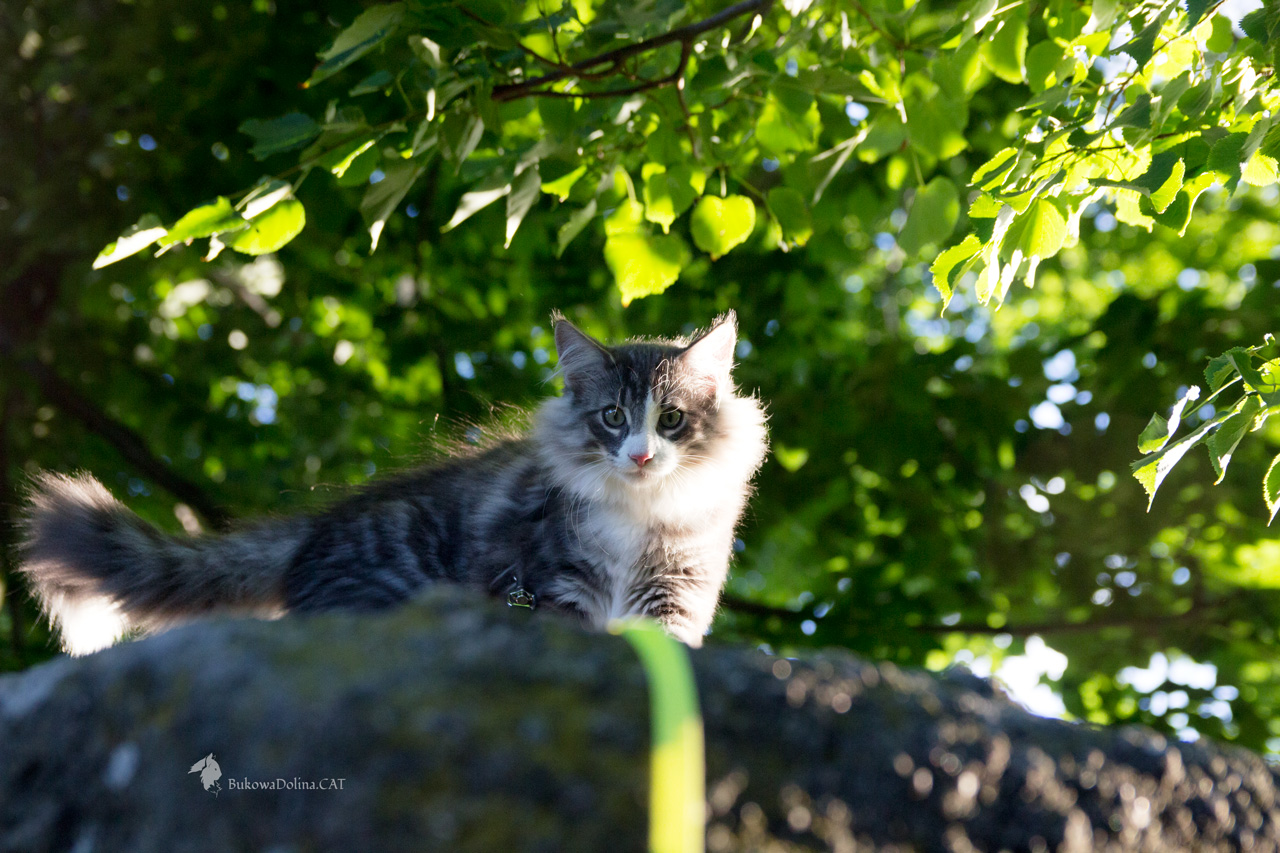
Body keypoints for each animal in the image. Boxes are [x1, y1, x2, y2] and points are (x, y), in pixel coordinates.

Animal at [20, 312, 769, 654]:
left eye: (670, 419)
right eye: (613, 416)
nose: (640, 456)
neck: (639, 512)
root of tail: (317, 528)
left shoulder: (673, 590)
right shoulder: (555, 582)